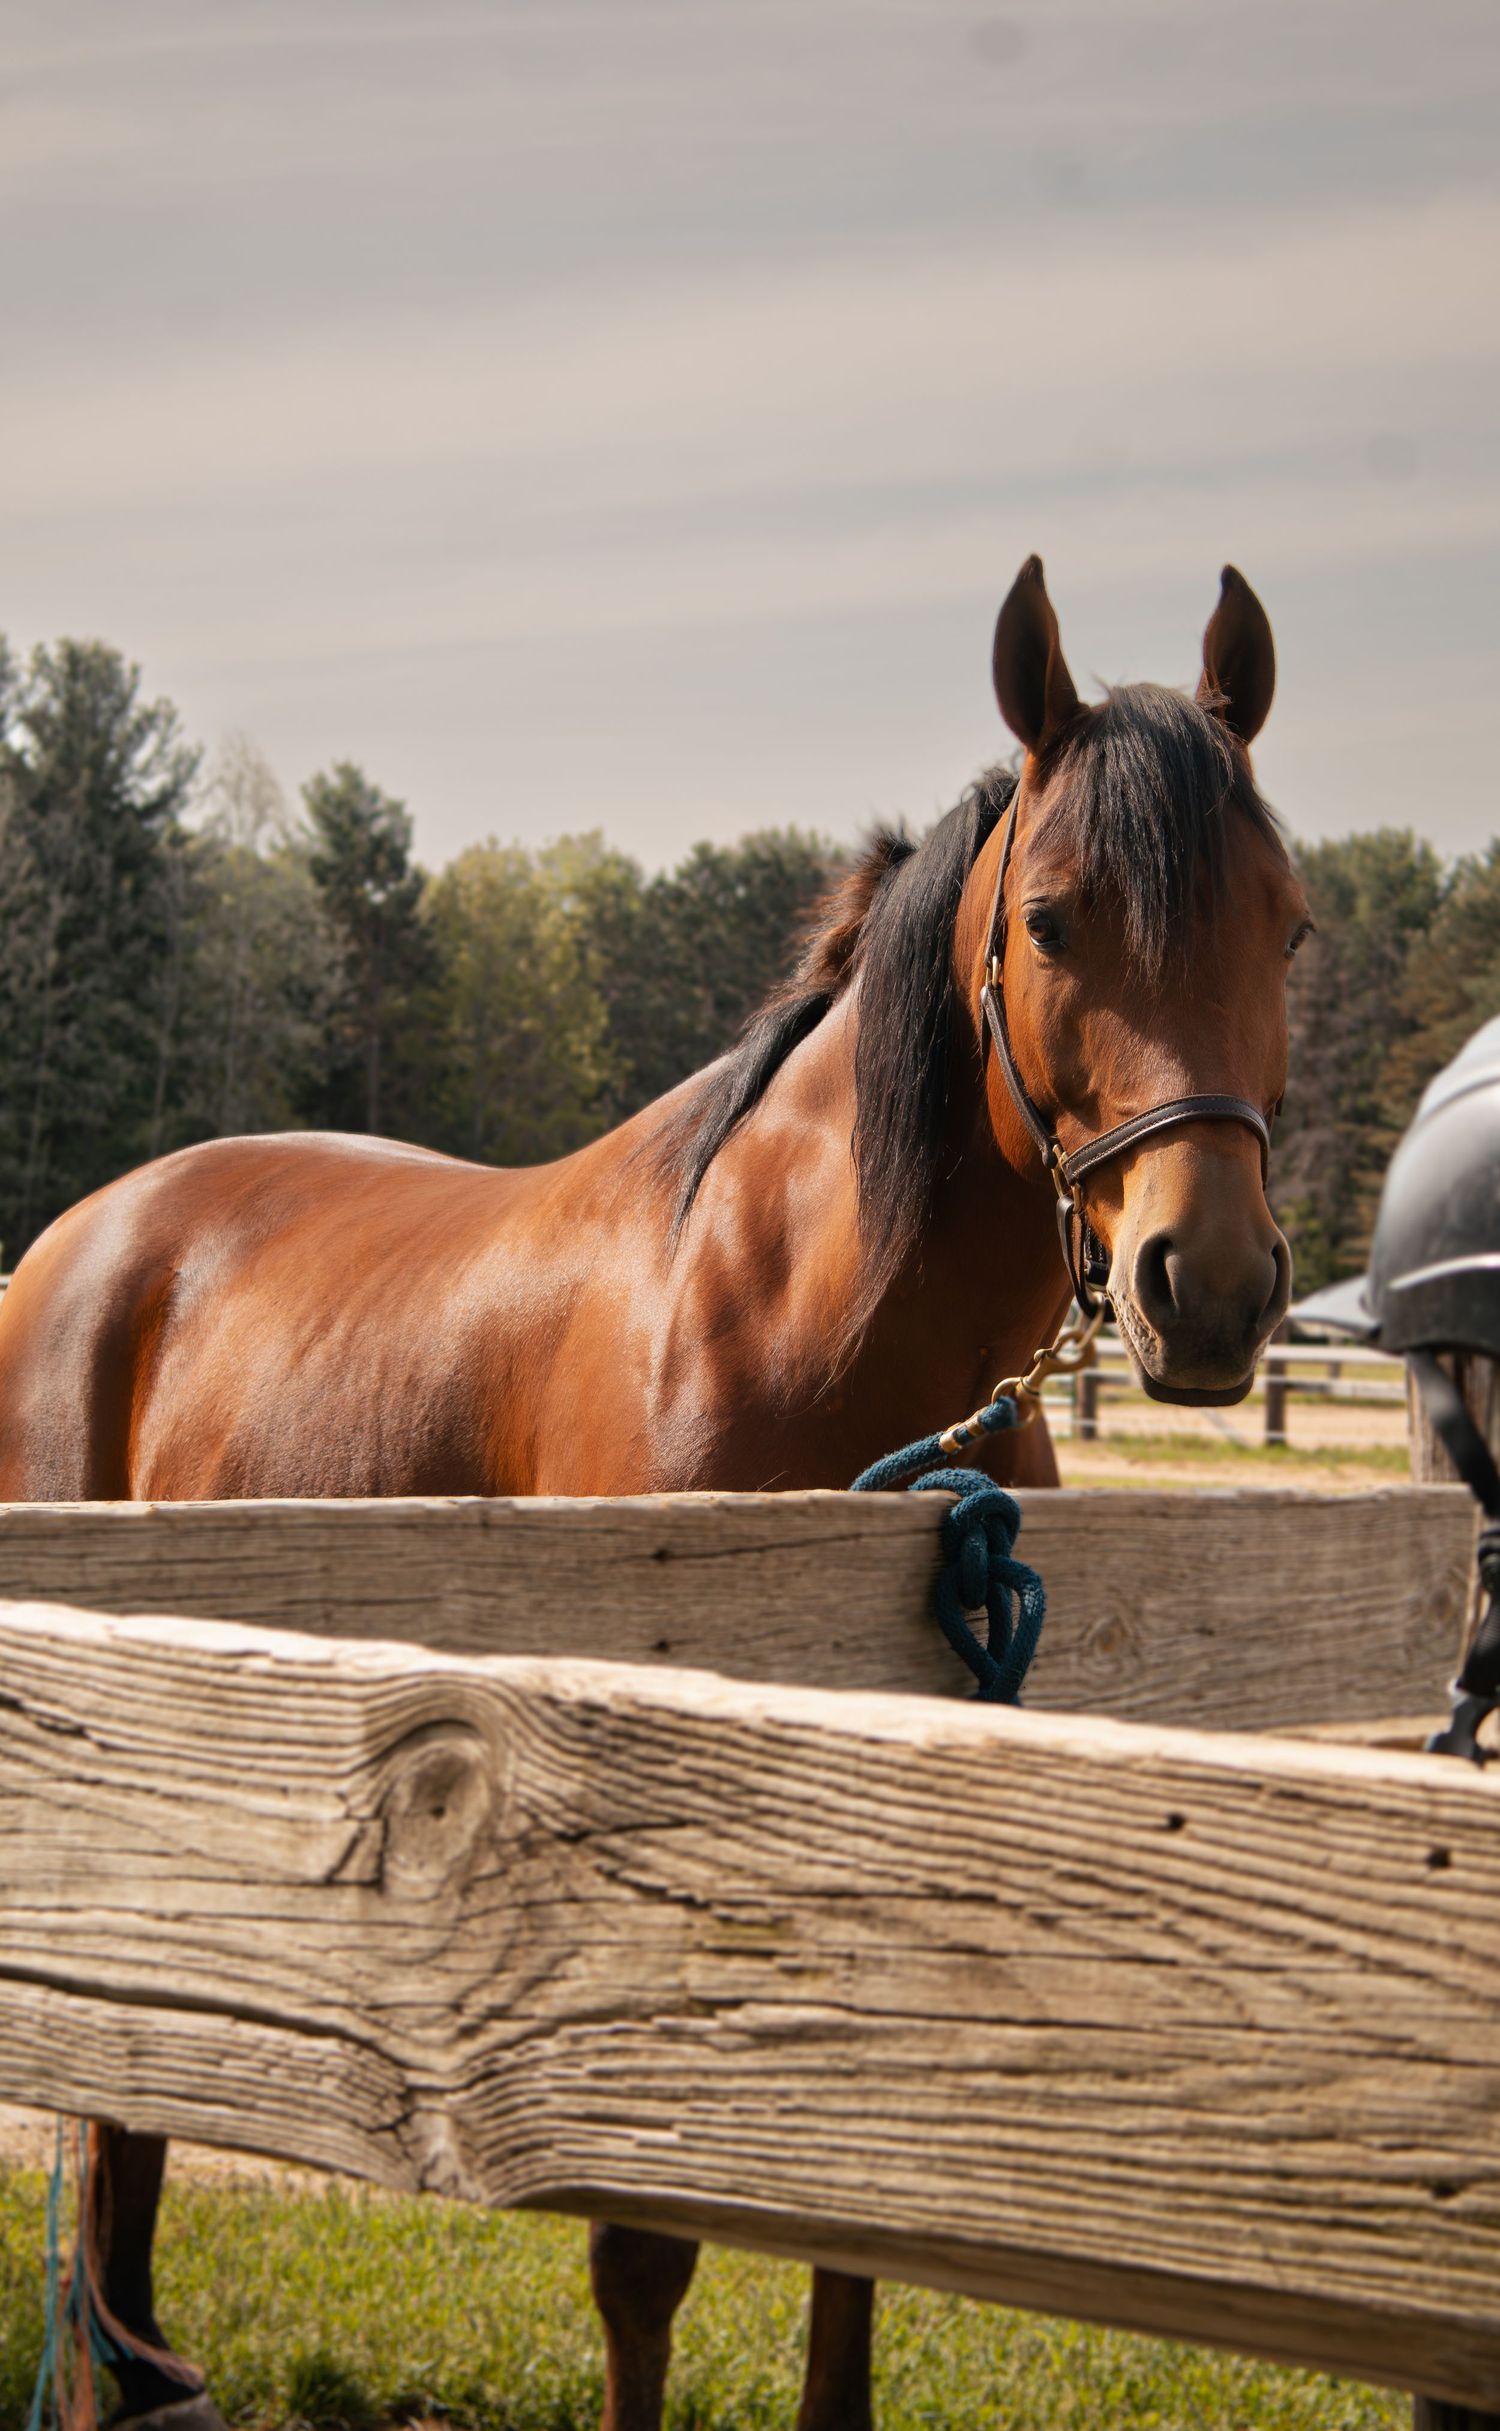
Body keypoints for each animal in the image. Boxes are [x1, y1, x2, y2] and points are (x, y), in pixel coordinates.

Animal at [0, 556, 1308, 2431]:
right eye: (1056, 918)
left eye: (1290, 926)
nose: (1206, 1288)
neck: (798, 1310)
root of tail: (87, 1237)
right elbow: (642, 2255)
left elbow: (851, 2231)